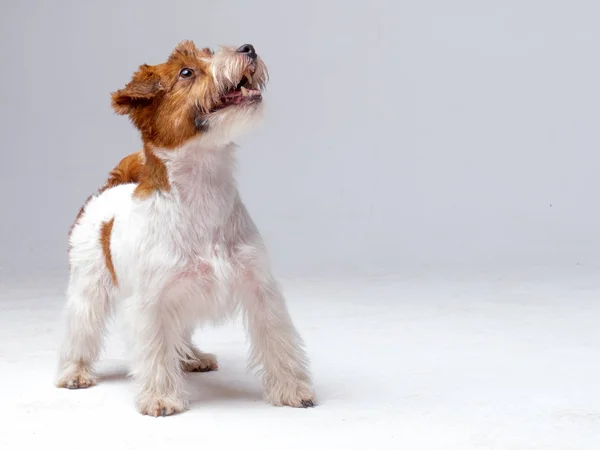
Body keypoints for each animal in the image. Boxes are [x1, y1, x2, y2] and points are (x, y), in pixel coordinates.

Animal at [56, 40, 316, 416]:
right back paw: (74, 371)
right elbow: (154, 349)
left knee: (180, 334)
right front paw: (161, 396)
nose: (248, 48)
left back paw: (192, 357)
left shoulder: (260, 289)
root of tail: (110, 189)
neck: (203, 188)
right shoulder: (151, 301)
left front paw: (292, 389)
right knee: (81, 329)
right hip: (88, 286)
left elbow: (278, 341)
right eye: (186, 72)